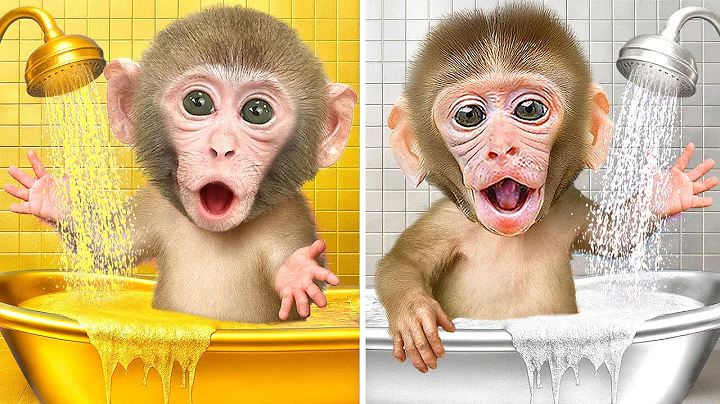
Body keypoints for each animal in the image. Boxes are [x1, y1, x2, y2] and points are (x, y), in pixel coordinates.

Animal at [2, 6, 357, 323]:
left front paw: (298, 272)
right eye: (197, 103)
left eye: (257, 111)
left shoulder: (291, 217)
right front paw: (54, 198)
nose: (222, 148)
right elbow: (108, 246)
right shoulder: (155, 202)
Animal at [374, 4, 719, 373]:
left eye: (529, 109)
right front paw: (414, 314)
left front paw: (667, 191)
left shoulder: (569, 206)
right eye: (469, 115)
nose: (501, 148)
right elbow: (404, 261)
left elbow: (613, 235)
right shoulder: (447, 222)